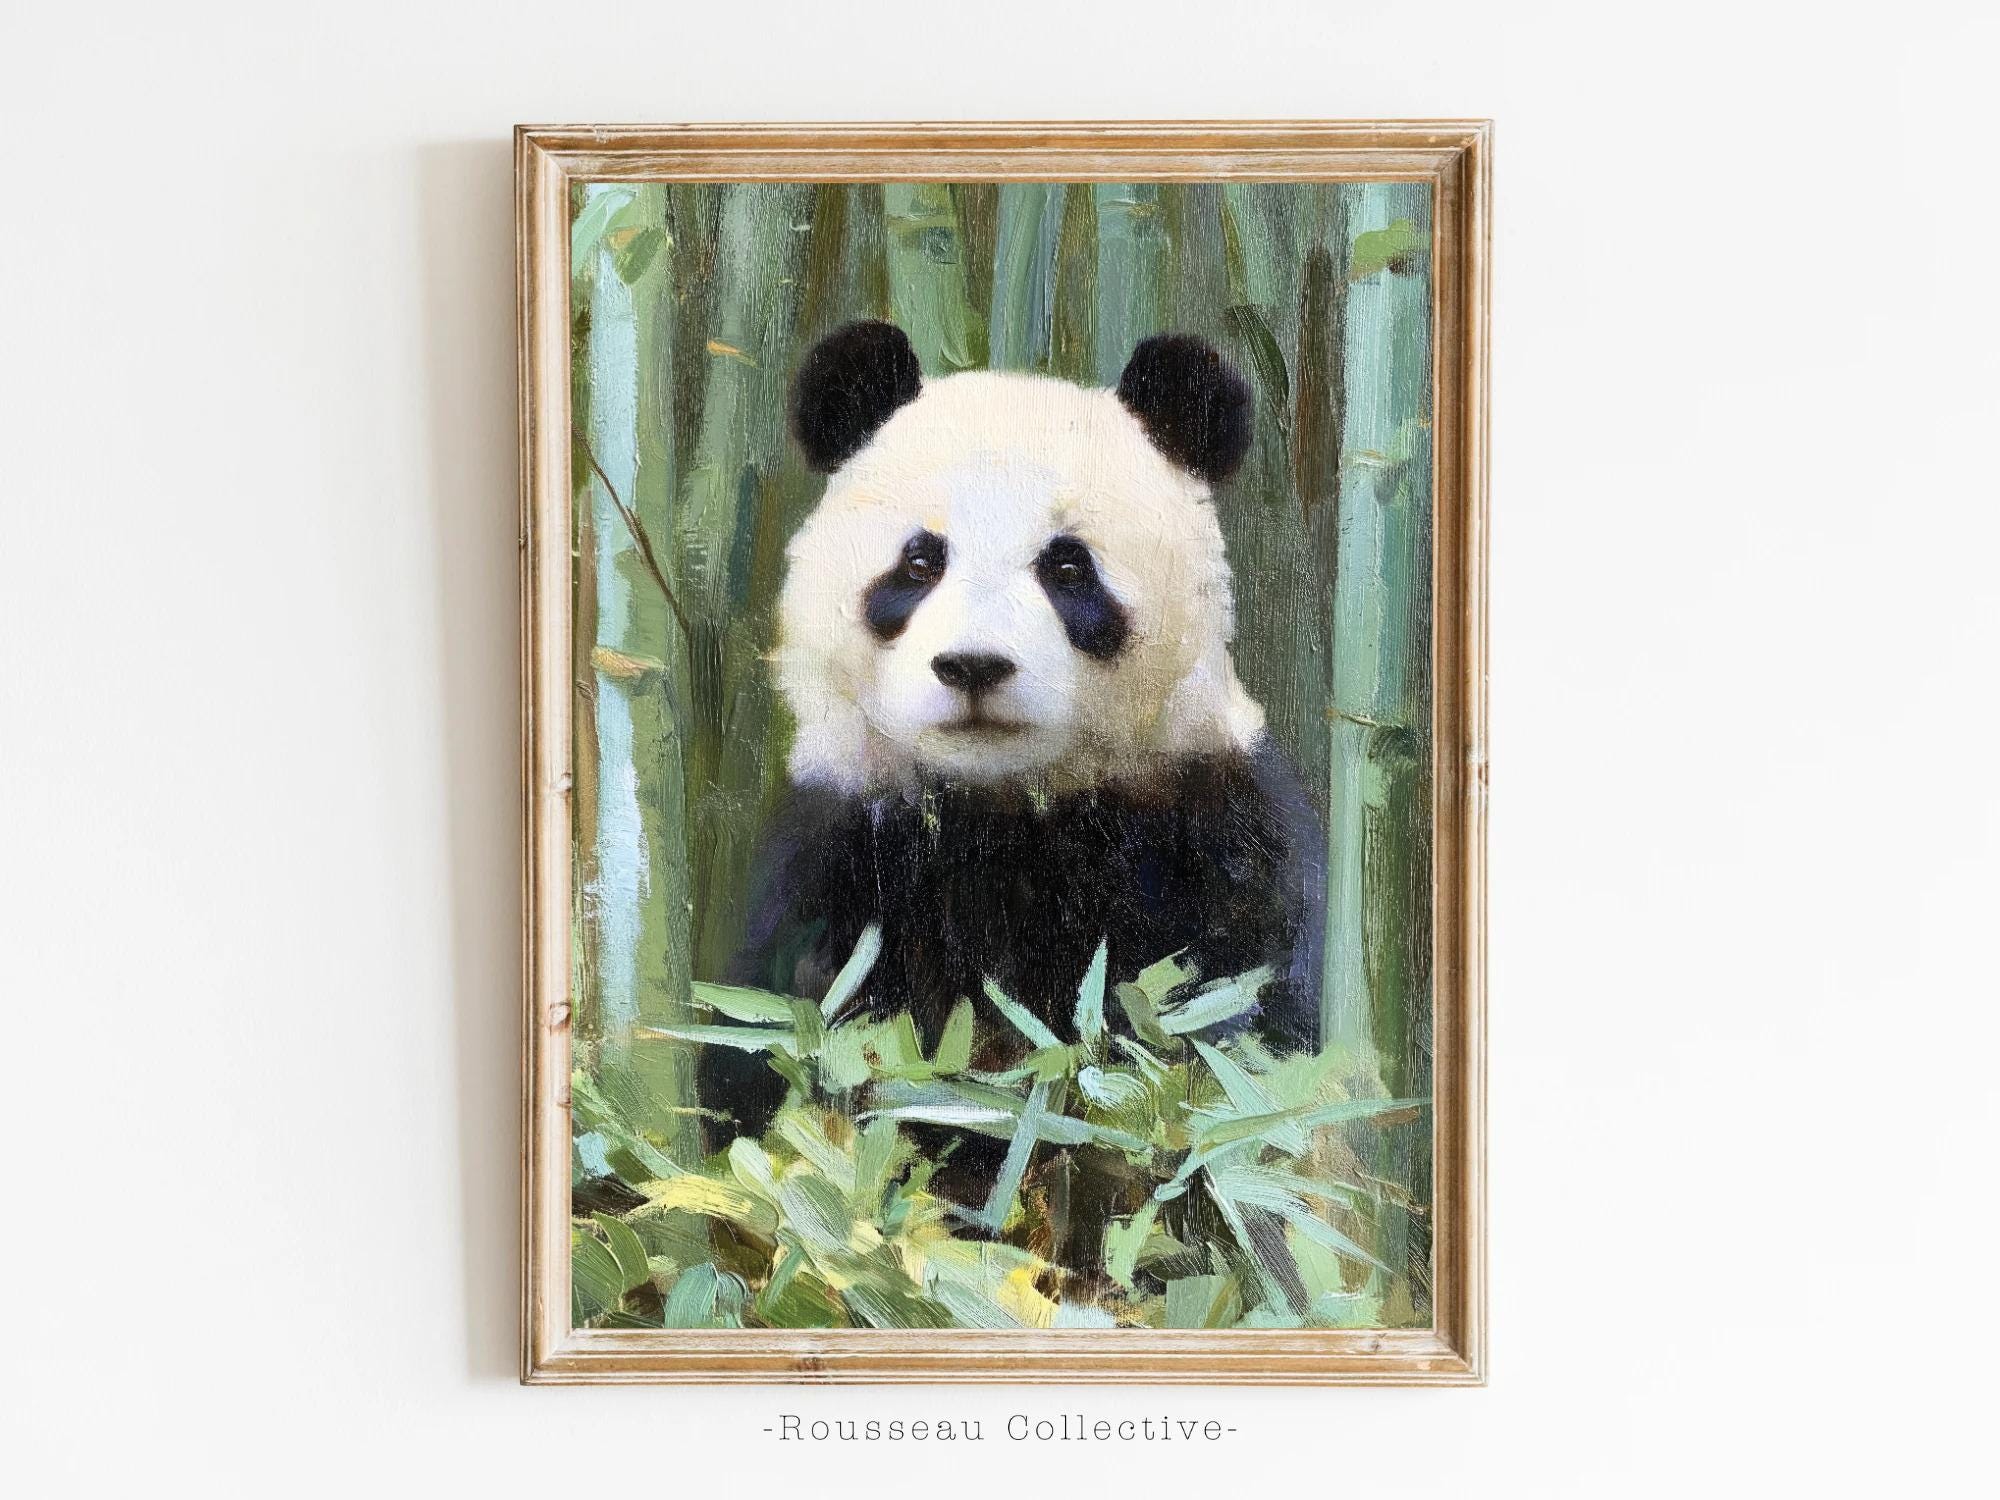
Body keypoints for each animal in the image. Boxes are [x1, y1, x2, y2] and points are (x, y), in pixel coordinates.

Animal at [700, 320, 1326, 1180]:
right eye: (920, 560)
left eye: (1067, 566)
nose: (973, 665)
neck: (1007, 802)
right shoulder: (846, 847)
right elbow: (775, 1044)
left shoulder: (1204, 821)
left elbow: (1228, 1027)